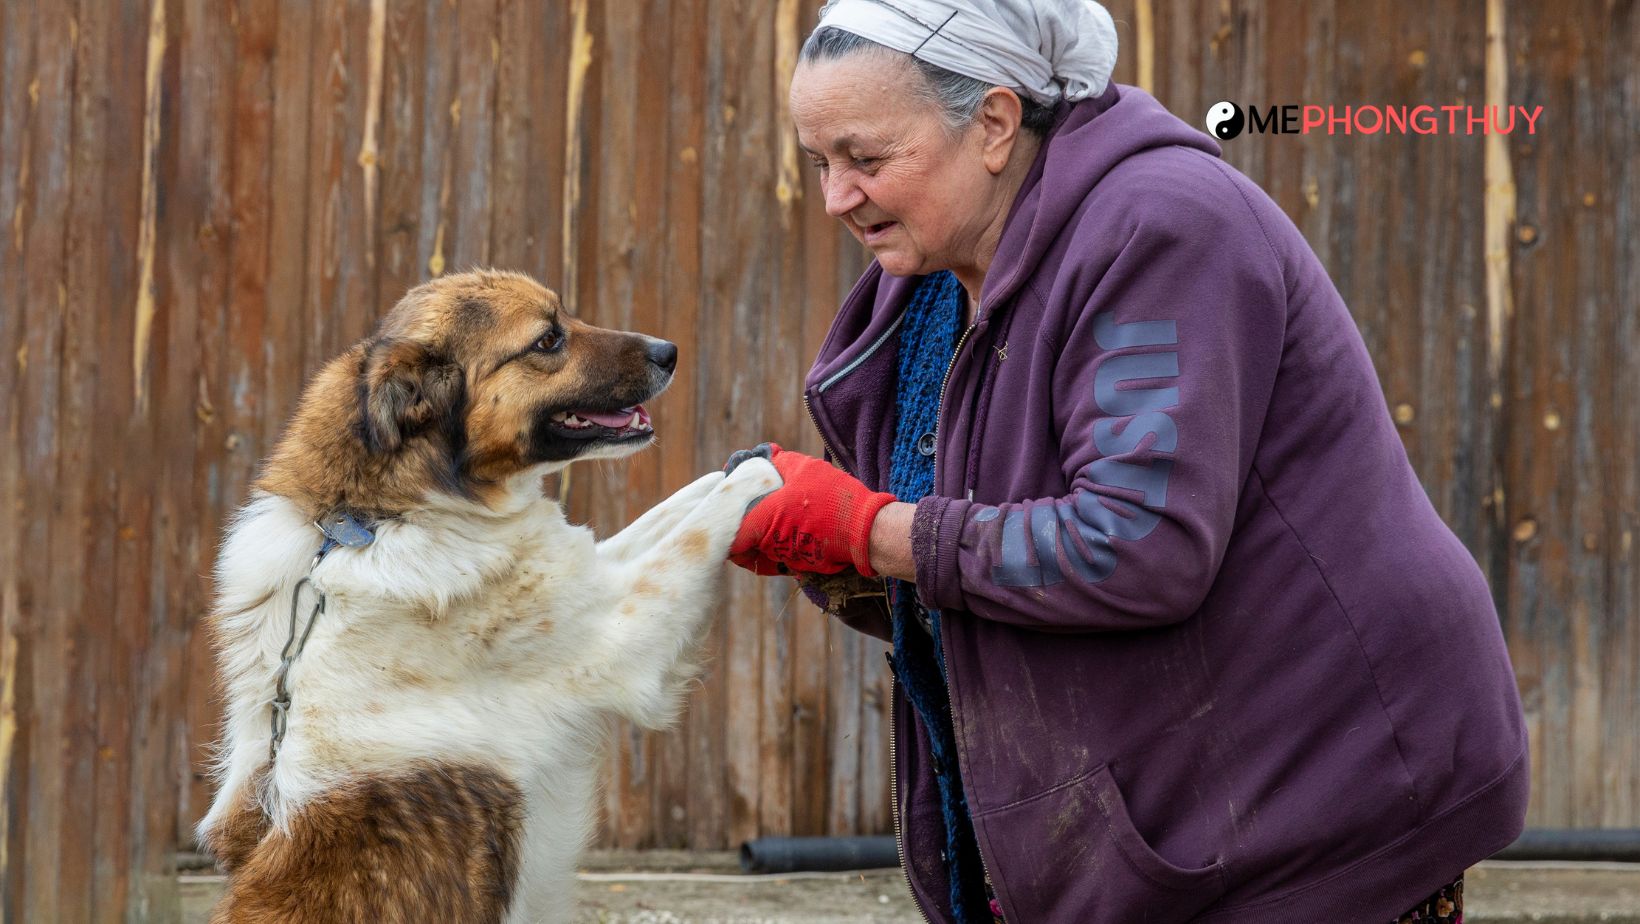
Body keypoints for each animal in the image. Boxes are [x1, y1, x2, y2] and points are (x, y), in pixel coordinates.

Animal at [196, 269, 774, 924]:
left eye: (565, 317)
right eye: (547, 340)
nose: (669, 352)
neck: (374, 521)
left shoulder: (588, 575)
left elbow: (675, 510)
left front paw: (739, 464)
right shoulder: (621, 635)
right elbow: (697, 531)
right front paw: (767, 478)